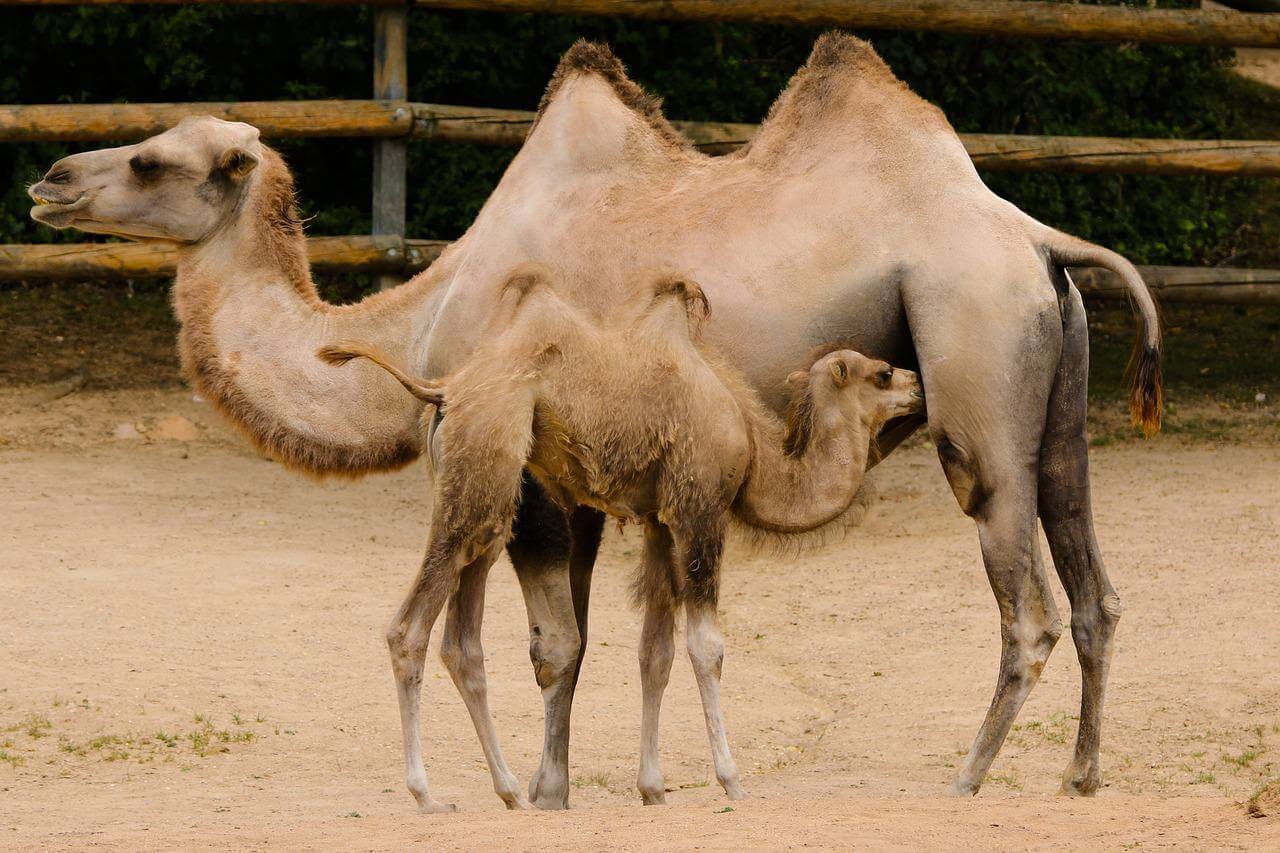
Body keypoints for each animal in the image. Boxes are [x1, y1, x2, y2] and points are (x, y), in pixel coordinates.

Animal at [320, 262, 921, 809]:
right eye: (882, 373)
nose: (918, 384)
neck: (752, 450)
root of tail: (444, 388)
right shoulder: (701, 510)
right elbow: (707, 646)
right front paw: (731, 780)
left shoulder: (660, 522)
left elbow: (654, 651)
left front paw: (652, 788)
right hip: (483, 470)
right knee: (408, 629)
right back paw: (427, 794)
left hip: (486, 500)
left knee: (463, 640)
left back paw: (512, 791)